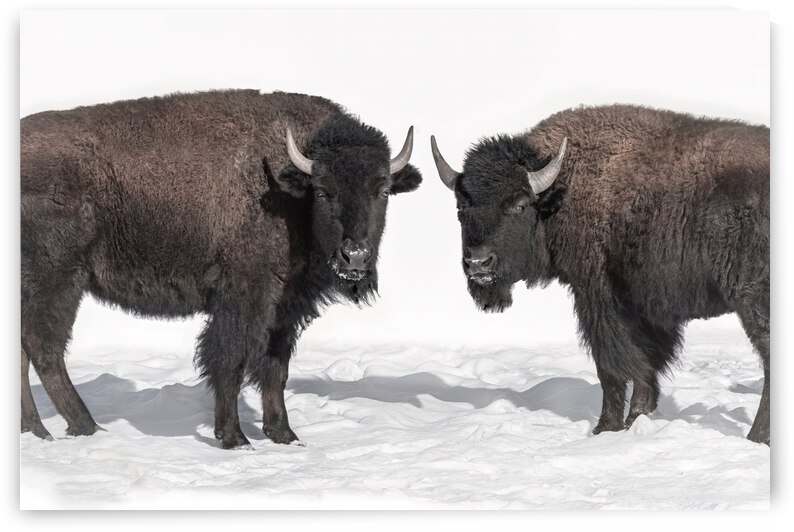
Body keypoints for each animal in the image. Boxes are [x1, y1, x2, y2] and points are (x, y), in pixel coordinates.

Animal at [21, 89, 421, 449]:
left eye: (382, 190)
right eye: (323, 191)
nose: (355, 255)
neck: (288, 189)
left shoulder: (286, 307)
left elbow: (275, 367)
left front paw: (285, 435)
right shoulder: (244, 297)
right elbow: (230, 359)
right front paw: (235, 438)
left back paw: (36, 430)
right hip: (58, 278)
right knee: (44, 347)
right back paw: (87, 427)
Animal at [431, 104, 769, 444]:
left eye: (520, 204)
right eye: (461, 207)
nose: (478, 263)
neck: (561, 190)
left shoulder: (595, 296)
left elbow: (610, 365)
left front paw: (605, 428)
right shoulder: (644, 309)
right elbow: (646, 363)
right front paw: (637, 418)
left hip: (752, 301)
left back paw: (756, 437)